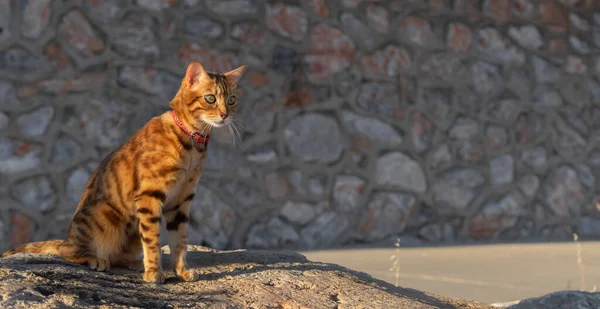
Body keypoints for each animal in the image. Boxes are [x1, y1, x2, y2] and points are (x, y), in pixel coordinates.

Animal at [1, 59, 247, 282]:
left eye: (232, 100)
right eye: (210, 98)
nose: (225, 115)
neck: (191, 141)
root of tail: (66, 239)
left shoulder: (181, 200)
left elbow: (180, 241)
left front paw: (181, 270)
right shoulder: (150, 195)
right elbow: (153, 240)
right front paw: (154, 272)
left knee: (116, 256)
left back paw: (134, 263)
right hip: (103, 217)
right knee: (69, 253)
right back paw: (96, 259)